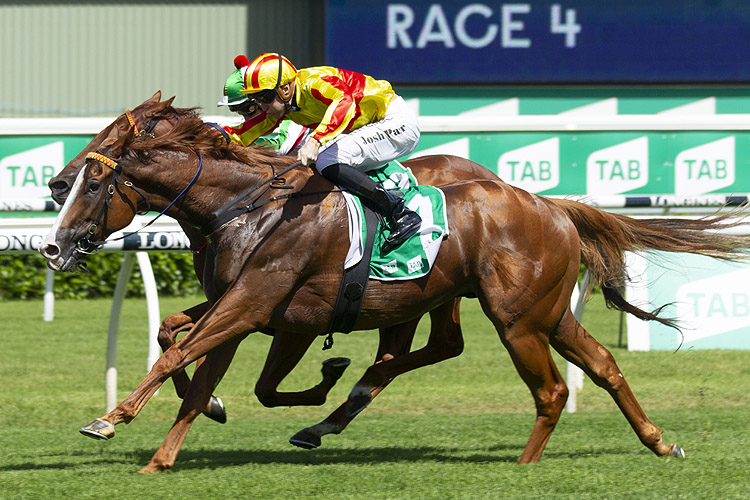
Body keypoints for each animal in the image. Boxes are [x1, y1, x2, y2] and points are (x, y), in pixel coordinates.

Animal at [41, 106, 750, 472]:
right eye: (68, 180)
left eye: (94, 182)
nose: (52, 244)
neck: (244, 204)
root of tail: (548, 204)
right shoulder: (246, 307)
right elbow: (185, 352)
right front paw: (168, 451)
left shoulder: (256, 302)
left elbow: (180, 355)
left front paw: (110, 419)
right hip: (535, 310)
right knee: (600, 365)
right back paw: (659, 440)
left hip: (517, 318)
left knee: (548, 388)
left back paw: (523, 467)